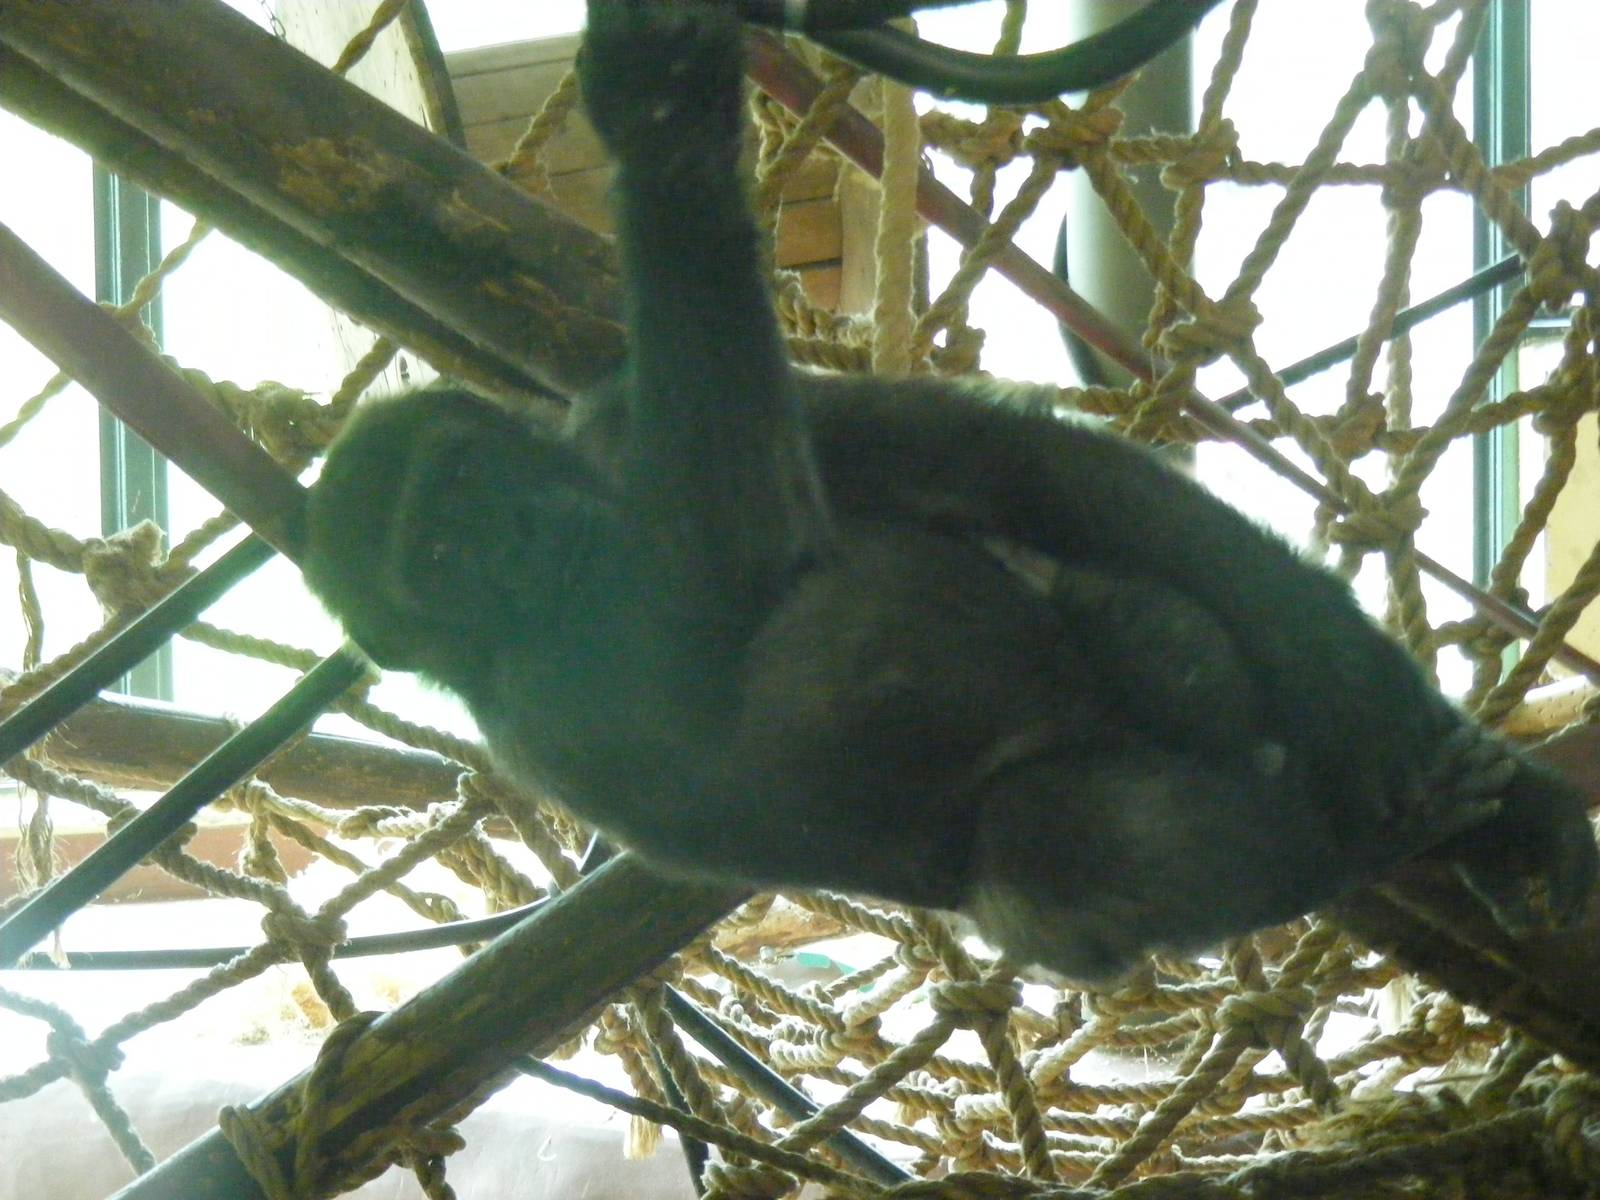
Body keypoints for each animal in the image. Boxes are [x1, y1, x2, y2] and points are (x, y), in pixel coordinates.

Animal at [302, 1, 1595, 982]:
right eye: (439, 560)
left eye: (468, 487)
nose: (515, 540)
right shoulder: (547, 703)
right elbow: (739, 583)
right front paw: (659, 120)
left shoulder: (639, 413)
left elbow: (998, 463)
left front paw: (1424, 749)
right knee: (1057, 852)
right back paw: (1340, 847)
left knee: (1129, 605)